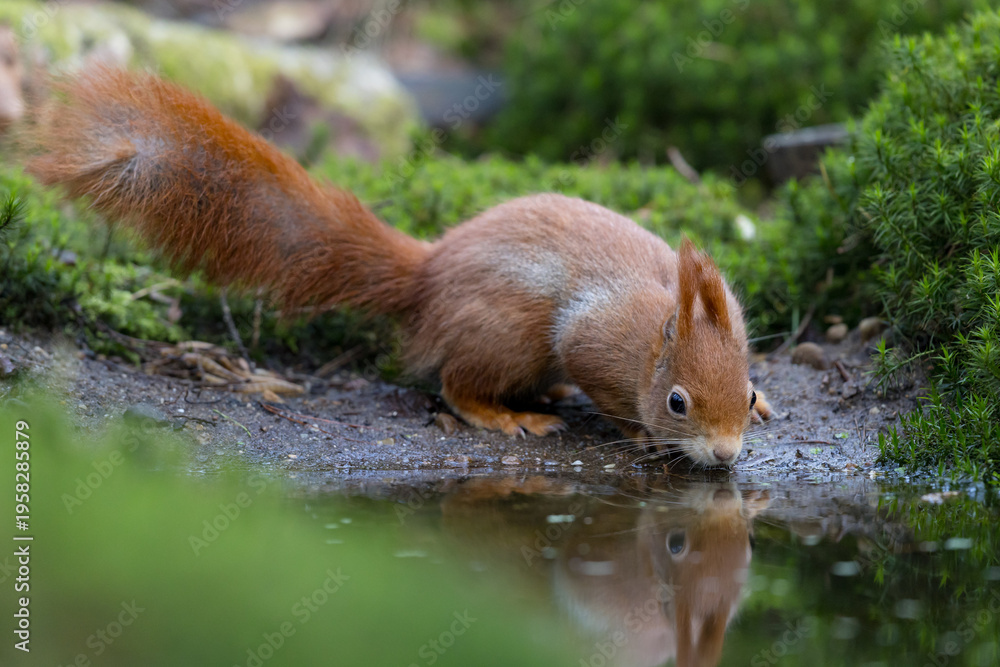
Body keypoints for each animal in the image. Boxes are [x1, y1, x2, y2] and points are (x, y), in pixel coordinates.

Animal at [25, 66, 769, 467]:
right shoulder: (593, 340)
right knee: (457, 383)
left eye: (745, 384)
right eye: (678, 402)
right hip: (505, 332)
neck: (654, 330)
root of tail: (428, 275)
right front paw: (638, 433)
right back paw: (509, 415)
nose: (726, 455)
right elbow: (603, 385)